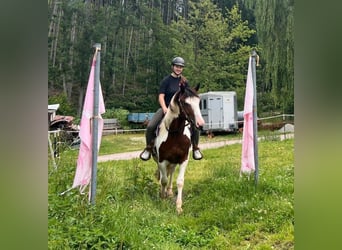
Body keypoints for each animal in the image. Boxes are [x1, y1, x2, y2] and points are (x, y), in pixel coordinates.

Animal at [152, 83, 204, 214]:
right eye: (185, 103)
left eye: (198, 102)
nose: (200, 124)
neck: (175, 134)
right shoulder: (162, 160)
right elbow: (163, 180)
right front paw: (163, 198)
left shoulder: (183, 159)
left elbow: (179, 181)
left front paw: (179, 206)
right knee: (163, 175)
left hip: (174, 161)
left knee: (171, 172)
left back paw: (170, 191)